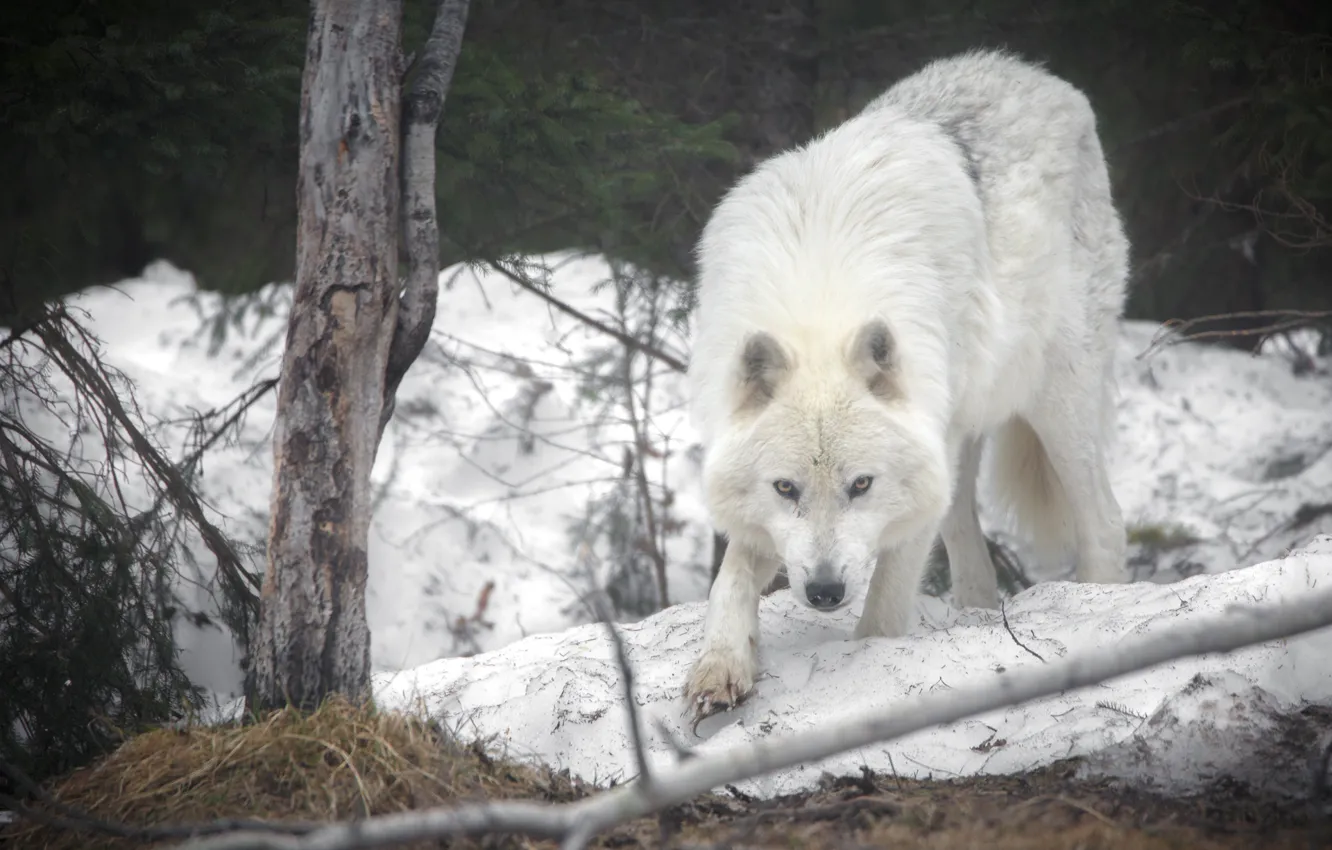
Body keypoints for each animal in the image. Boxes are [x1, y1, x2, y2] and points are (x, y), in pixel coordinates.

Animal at [683, 49, 1131, 721]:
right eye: (785, 488)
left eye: (862, 485)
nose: (823, 591)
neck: (821, 304)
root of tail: (1036, 74)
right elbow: (729, 579)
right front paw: (721, 667)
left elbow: (886, 603)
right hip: (963, 433)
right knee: (965, 531)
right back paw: (977, 614)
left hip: (1057, 402)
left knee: (1104, 520)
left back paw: (1103, 607)